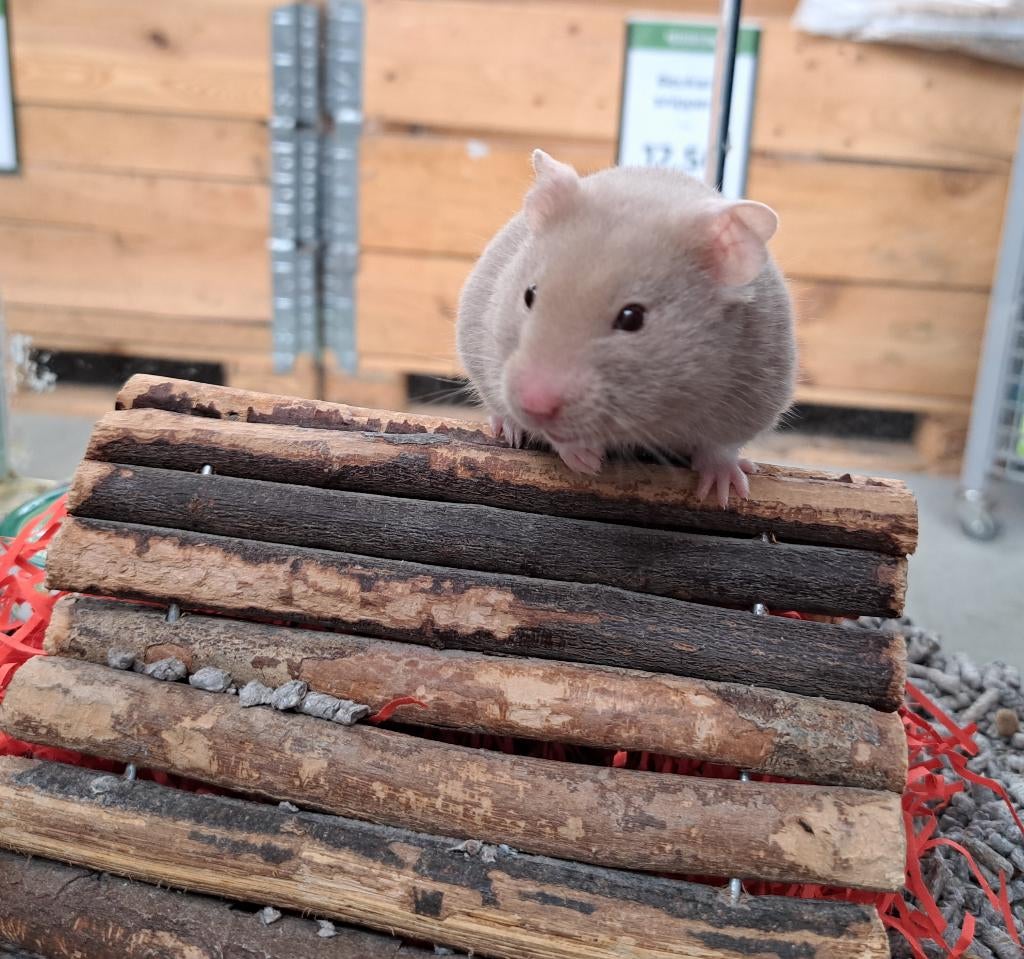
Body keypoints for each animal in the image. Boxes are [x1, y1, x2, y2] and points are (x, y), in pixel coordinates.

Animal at [456, 149, 797, 506]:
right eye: (529, 295)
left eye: (632, 317)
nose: (533, 405)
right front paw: (588, 462)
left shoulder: (754, 396)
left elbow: (721, 446)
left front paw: (724, 492)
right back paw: (508, 429)